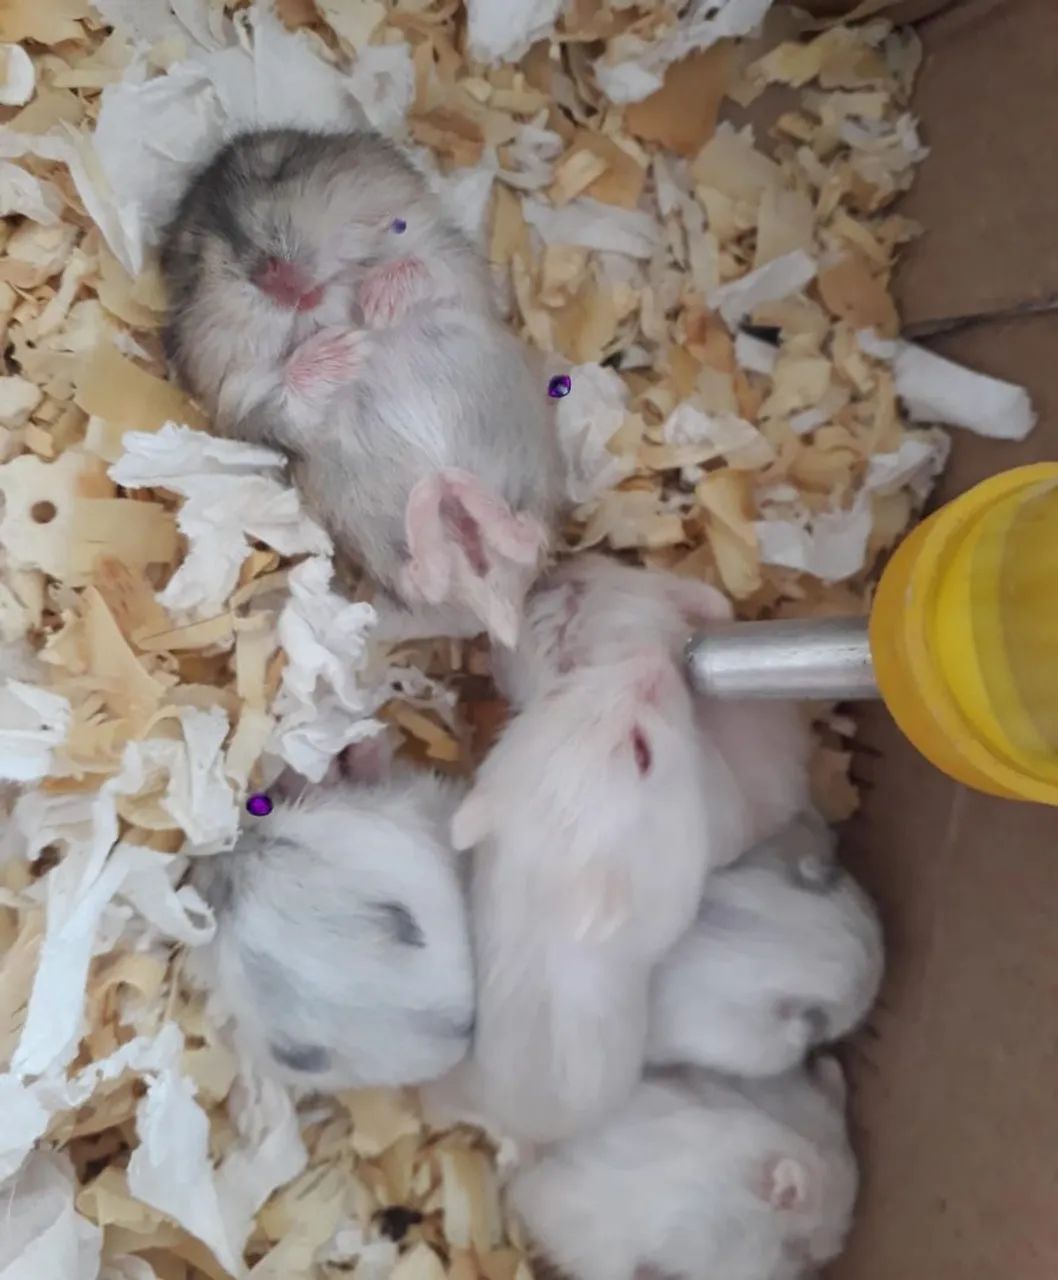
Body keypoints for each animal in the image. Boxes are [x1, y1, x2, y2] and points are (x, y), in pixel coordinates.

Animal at [161, 128, 564, 646]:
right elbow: (283, 394)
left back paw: (452, 490)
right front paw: (345, 348)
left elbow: (424, 265)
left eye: (279, 168)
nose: (271, 276)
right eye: (195, 261)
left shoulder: (458, 268)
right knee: (430, 577)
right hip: (377, 536)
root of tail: (501, 611)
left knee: (528, 537)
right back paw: (436, 498)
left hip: (534, 480)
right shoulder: (251, 405)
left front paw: (377, 303)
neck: (330, 304)